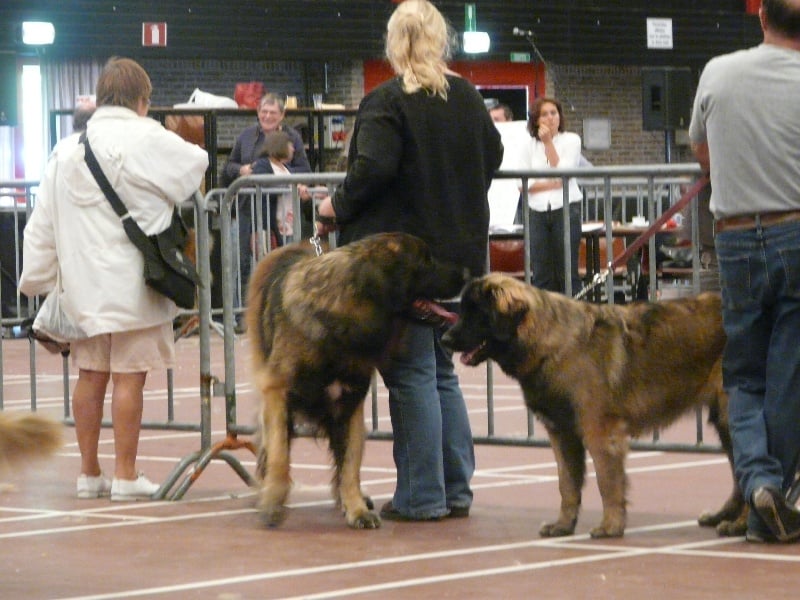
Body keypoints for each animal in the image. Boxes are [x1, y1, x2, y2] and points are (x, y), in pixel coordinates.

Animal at [247, 232, 466, 528]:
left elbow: (350, 463)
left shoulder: (350, 401)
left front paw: (356, 508)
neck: (341, 318)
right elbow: (280, 454)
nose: (466, 274)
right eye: (426, 260)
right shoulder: (278, 392)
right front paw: (273, 501)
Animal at [440, 274, 748, 540]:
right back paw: (725, 516)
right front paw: (563, 525)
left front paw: (610, 526)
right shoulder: (561, 433)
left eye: (476, 312)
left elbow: (607, 482)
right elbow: (567, 485)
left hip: (731, 414)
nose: (444, 340)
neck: (550, 343)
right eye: (463, 310)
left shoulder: (599, 433)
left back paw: (741, 524)